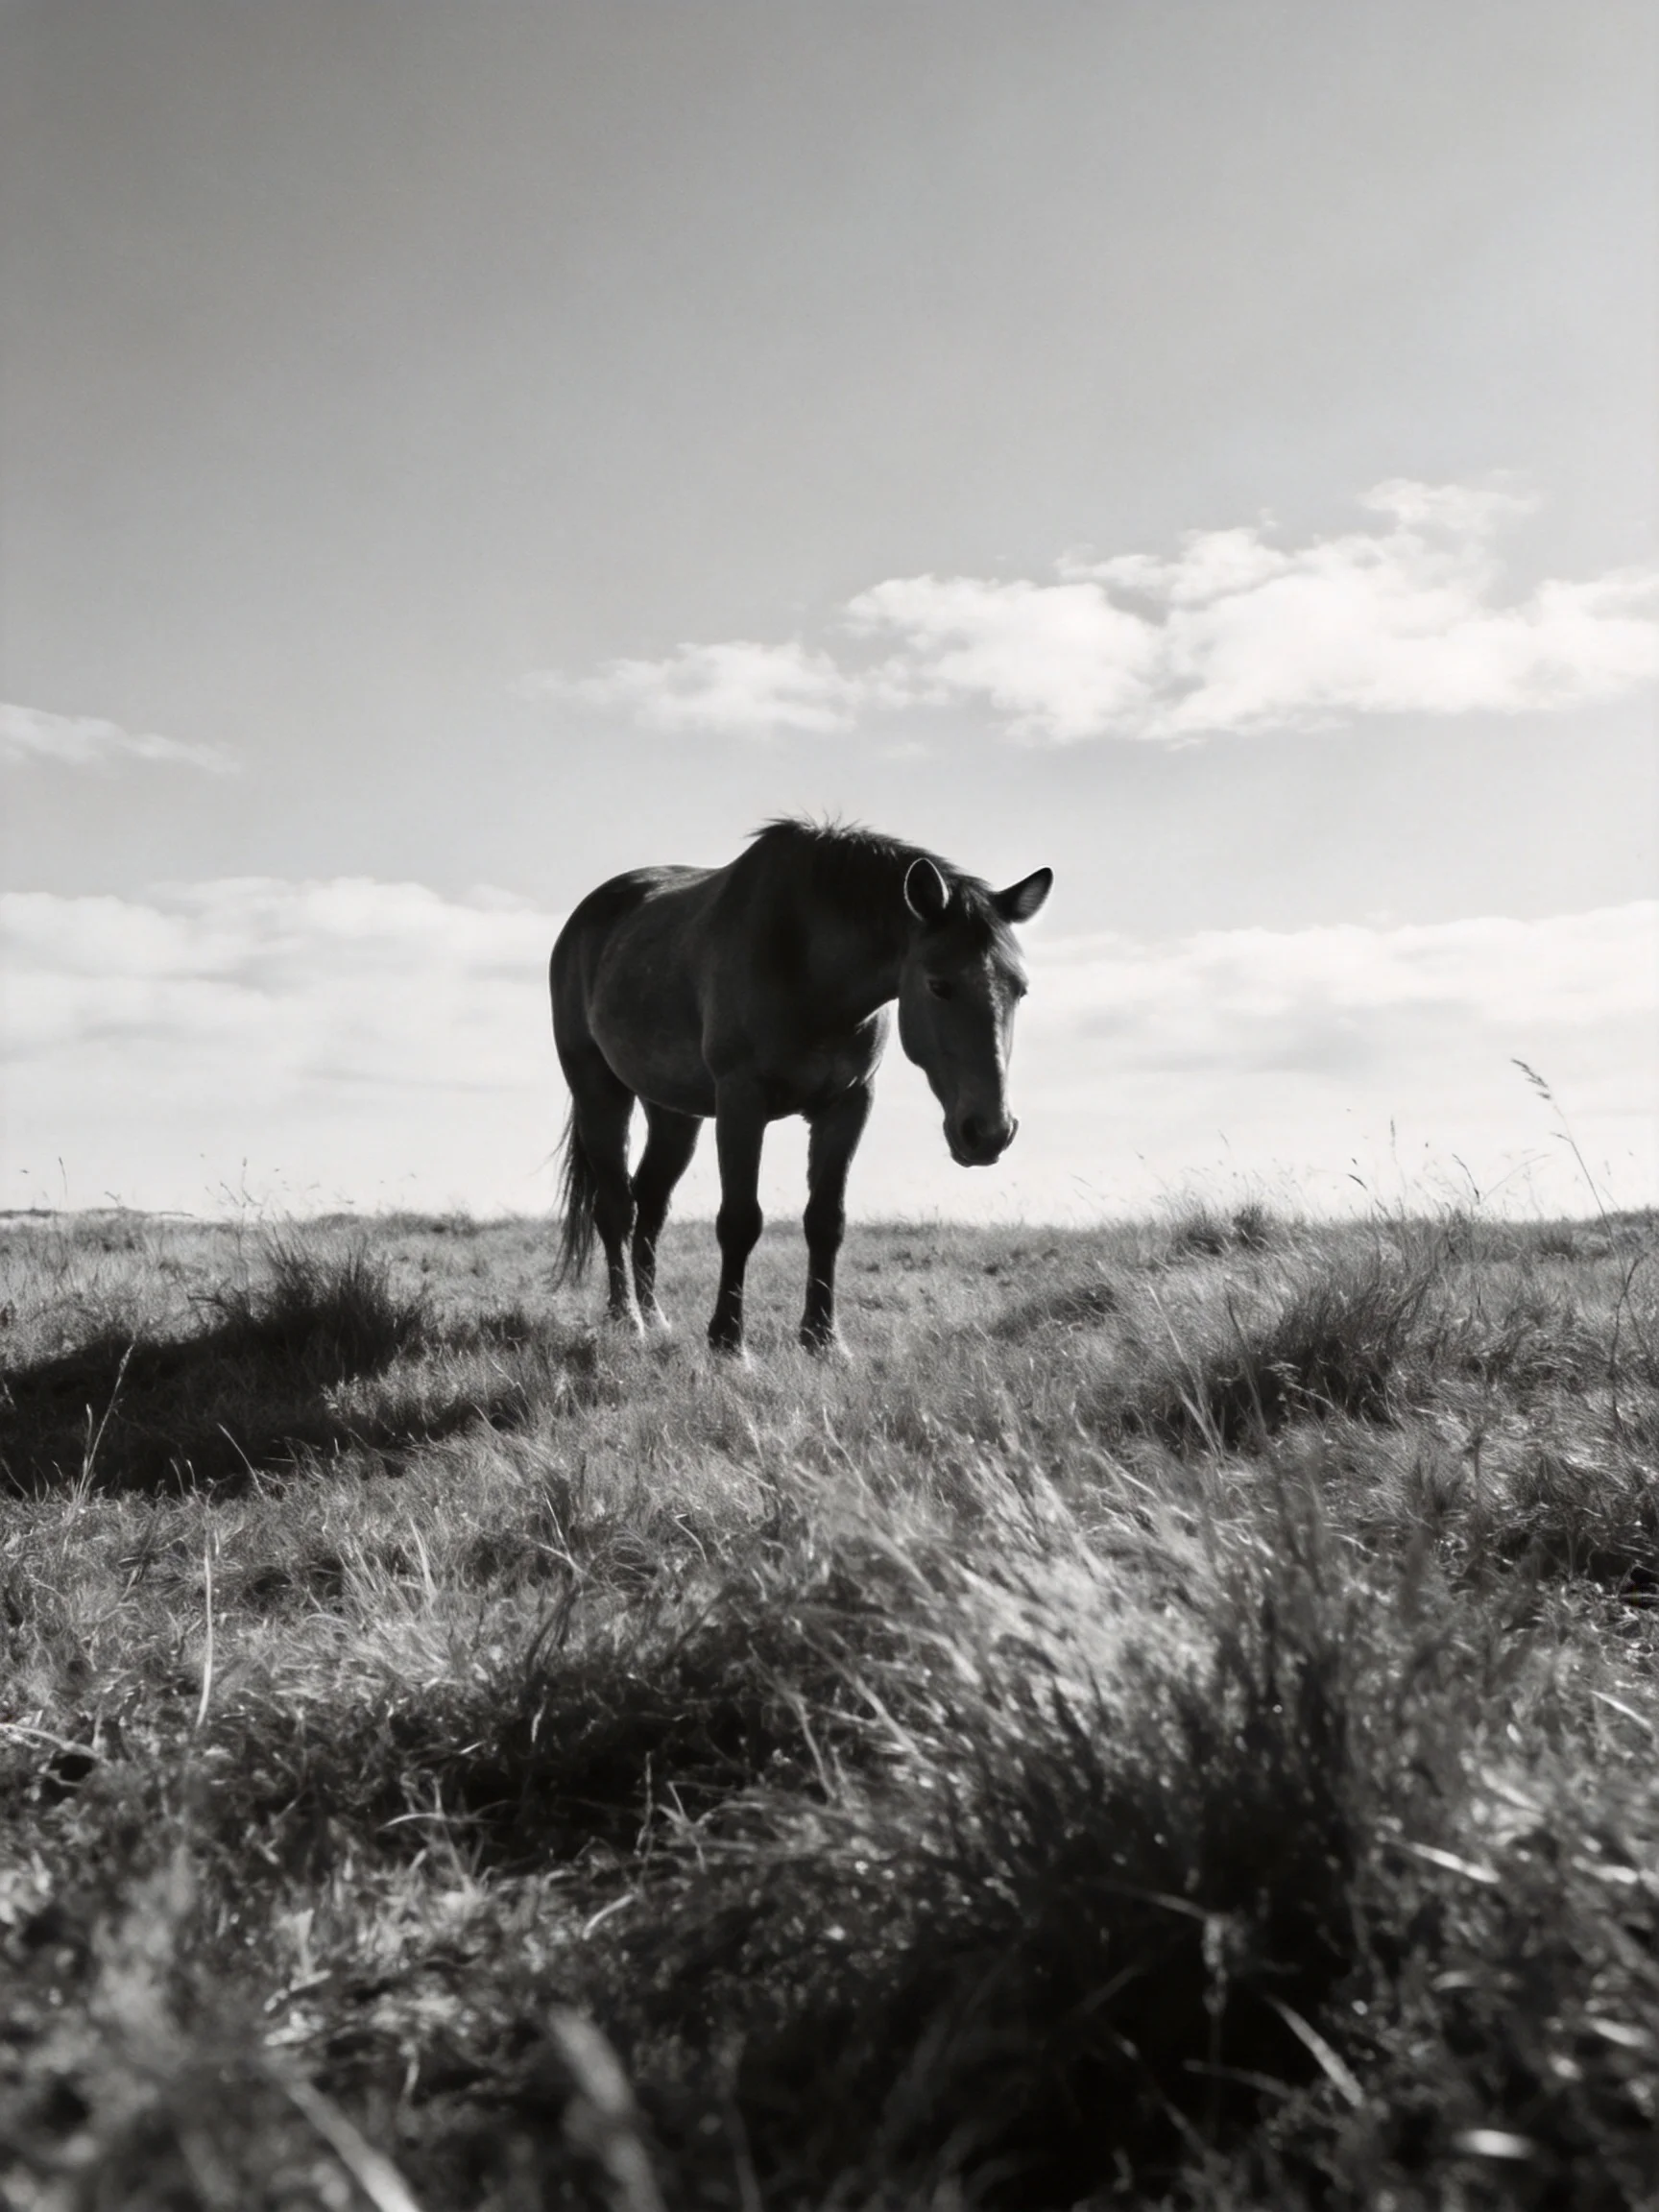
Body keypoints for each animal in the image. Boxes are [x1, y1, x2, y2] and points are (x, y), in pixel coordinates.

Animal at [549, 818, 1052, 1354]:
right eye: (939, 985)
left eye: (1020, 988)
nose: (989, 1132)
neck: (805, 961)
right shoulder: (741, 1102)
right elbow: (740, 1220)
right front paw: (728, 1343)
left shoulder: (848, 1104)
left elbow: (826, 1220)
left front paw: (823, 1340)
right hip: (599, 1092)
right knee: (616, 1208)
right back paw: (627, 1319)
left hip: (674, 1113)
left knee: (651, 1203)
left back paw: (655, 1316)